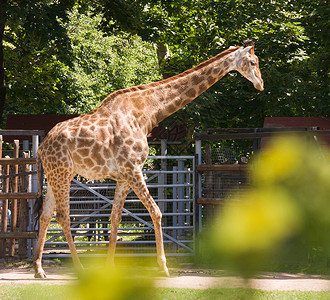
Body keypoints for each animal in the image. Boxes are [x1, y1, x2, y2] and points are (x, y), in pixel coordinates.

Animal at [33, 39, 264, 278]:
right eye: (253, 61)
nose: (261, 84)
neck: (145, 113)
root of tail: (41, 147)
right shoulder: (133, 168)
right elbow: (156, 211)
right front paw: (163, 266)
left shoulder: (123, 176)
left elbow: (115, 218)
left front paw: (110, 267)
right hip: (63, 173)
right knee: (63, 216)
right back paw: (78, 268)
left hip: (56, 175)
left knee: (45, 215)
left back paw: (39, 269)